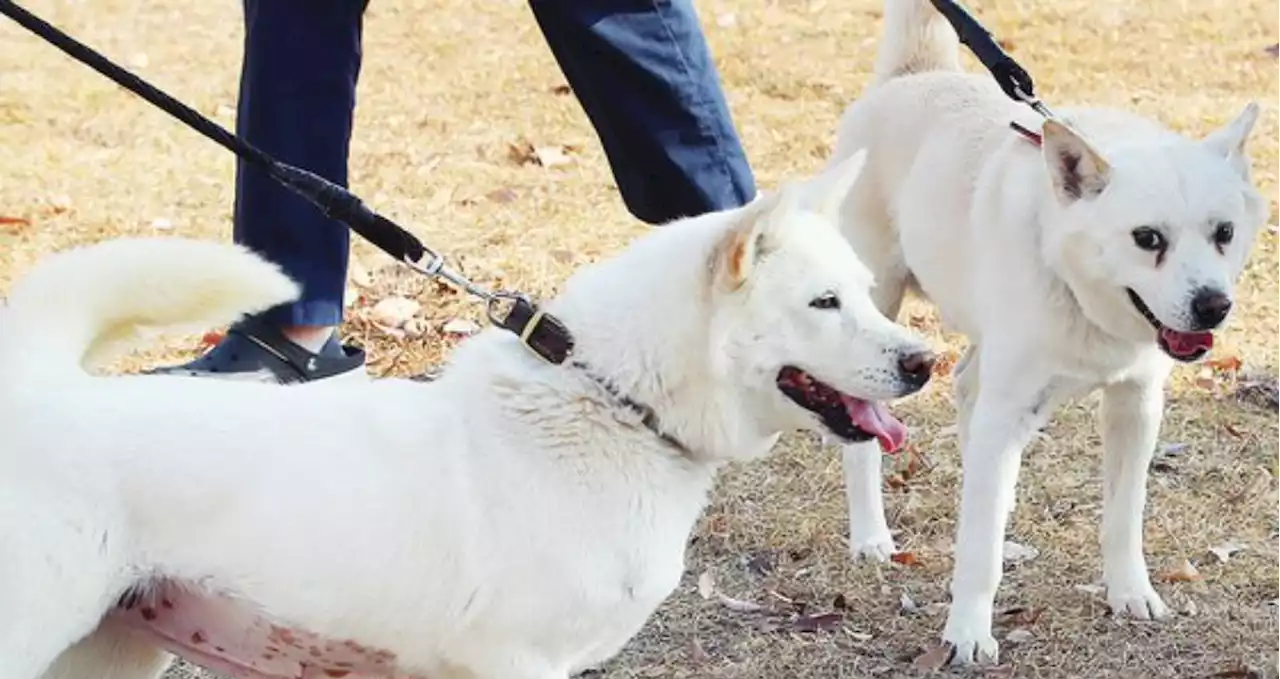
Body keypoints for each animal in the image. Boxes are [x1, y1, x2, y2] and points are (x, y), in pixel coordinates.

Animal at [2, 149, 942, 676]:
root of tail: (39, 385)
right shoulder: (516, 663)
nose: (924, 362)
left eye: (866, 292)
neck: (612, 405)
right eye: (823, 303)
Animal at [829, 0, 1269, 666]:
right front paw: (967, 632)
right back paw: (873, 537)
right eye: (1147, 239)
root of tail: (913, 76)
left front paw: (1130, 593)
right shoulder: (1011, 403)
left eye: (1224, 233)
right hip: (878, 313)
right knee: (868, 438)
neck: (1077, 289)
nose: (1213, 306)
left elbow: (1123, 515)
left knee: (968, 396)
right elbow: (977, 548)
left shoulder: (1135, 404)